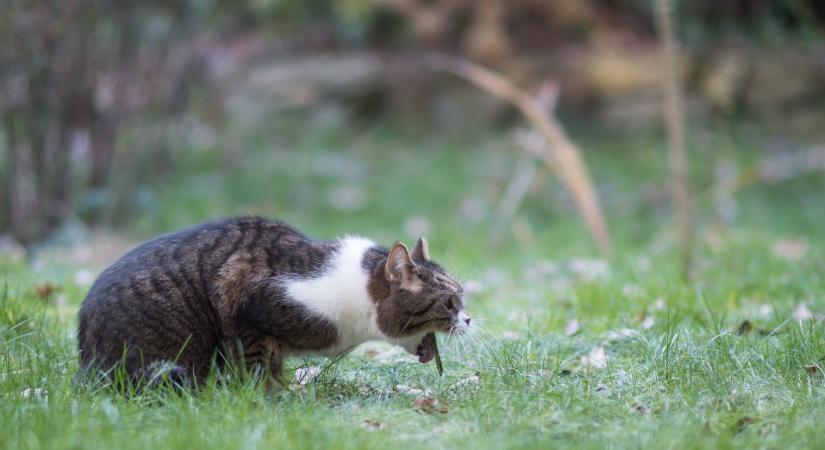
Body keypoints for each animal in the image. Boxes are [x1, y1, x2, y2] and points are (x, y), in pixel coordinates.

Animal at [77, 215, 470, 386]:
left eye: (462, 299)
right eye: (450, 303)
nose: (468, 319)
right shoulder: (246, 307)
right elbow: (261, 367)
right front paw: (276, 399)